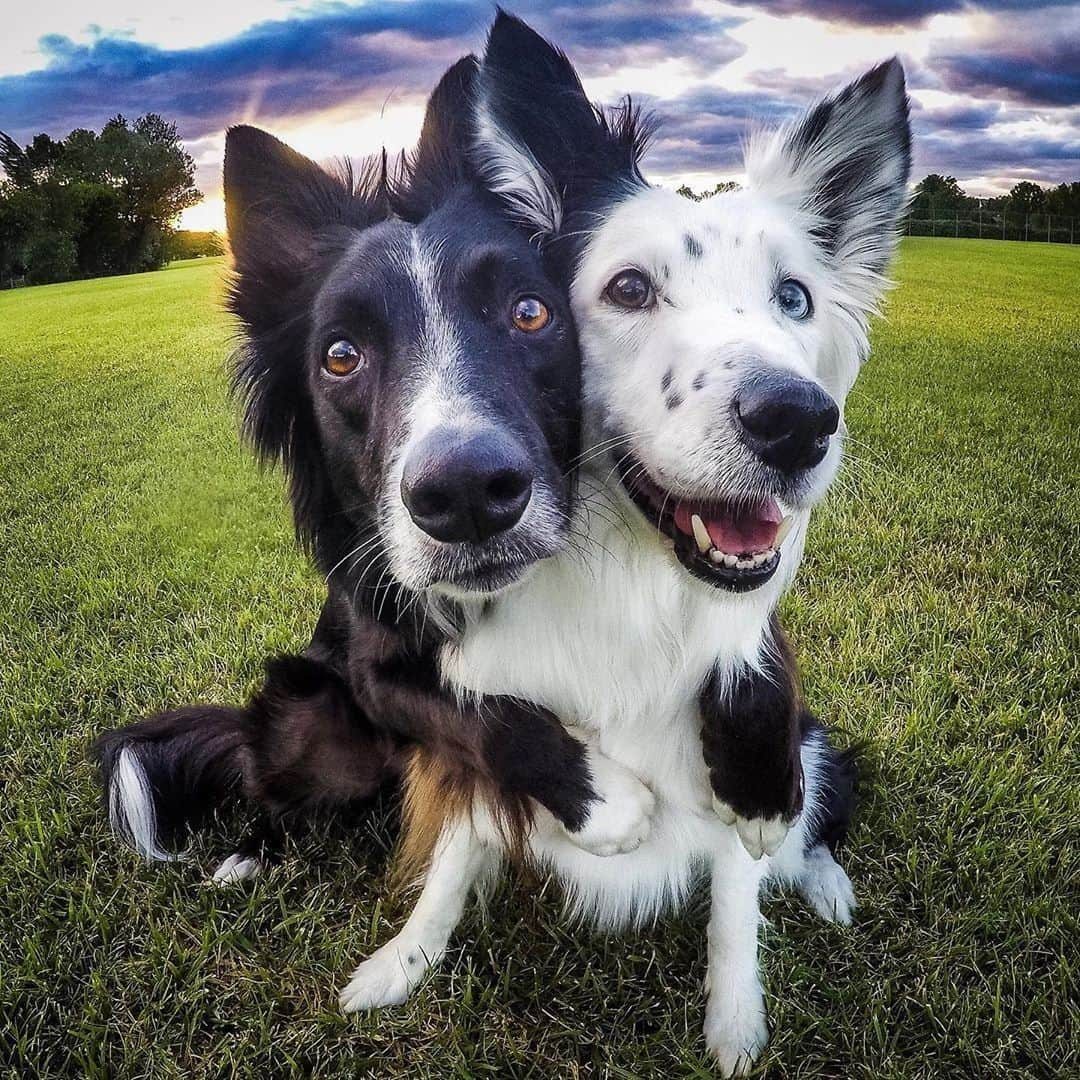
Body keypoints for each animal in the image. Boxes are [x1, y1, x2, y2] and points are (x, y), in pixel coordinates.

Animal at [336, 12, 911, 1075]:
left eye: (796, 298)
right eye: (631, 288)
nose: (798, 422)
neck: (632, 599)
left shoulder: (736, 776)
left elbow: (734, 907)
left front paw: (735, 1026)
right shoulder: (487, 726)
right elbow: (455, 853)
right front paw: (403, 962)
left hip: (810, 751)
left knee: (812, 819)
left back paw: (823, 881)